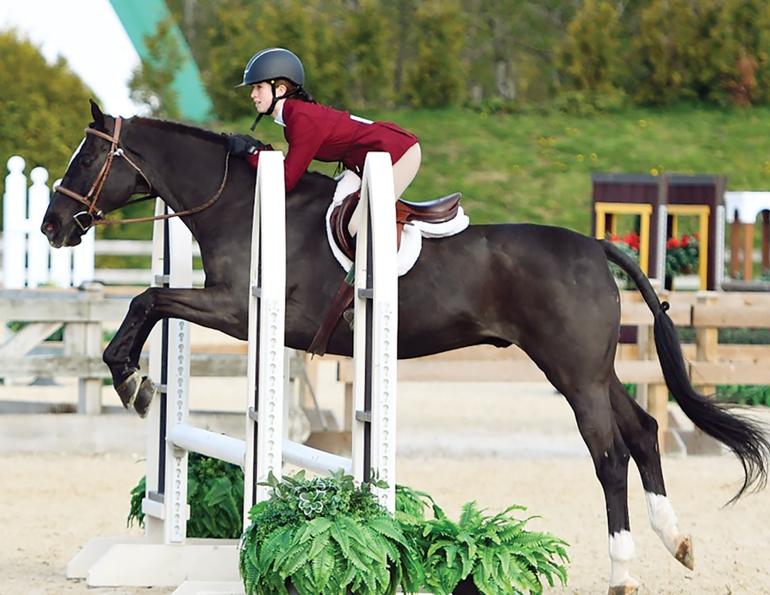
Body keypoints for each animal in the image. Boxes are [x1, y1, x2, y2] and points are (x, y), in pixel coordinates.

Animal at [42, 101, 768, 594]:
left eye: (87, 158)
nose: (52, 227)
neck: (240, 204)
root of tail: (596, 245)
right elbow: (151, 300)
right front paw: (137, 381)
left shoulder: (241, 313)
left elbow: (148, 300)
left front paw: (129, 380)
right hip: (589, 368)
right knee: (643, 430)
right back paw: (676, 541)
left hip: (573, 370)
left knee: (610, 454)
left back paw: (622, 570)